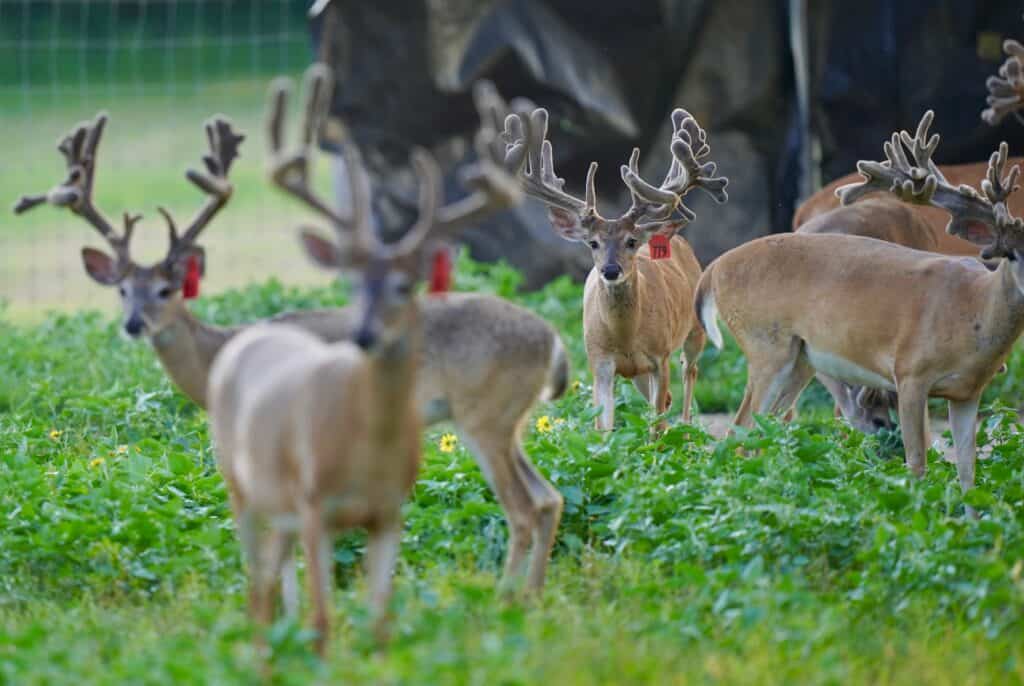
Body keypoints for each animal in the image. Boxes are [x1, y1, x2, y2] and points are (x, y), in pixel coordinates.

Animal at [12, 65, 567, 599]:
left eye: (167, 289)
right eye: (123, 290)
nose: (134, 324)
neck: (219, 354)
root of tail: (554, 341)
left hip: (484, 413)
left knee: (523, 506)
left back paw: (507, 599)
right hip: (505, 421)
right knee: (548, 497)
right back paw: (531, 596)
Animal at [501, 106, 728, 432]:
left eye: (631, 241)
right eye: (593, 243)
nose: (610, 270)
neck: (626, 336)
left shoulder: (660, 357)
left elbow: (658, 428)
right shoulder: (600, 363)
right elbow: (604, 429)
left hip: (695, 329)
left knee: (689, 374)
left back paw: (686, 428)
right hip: (638, 375)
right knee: (667, 397)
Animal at [696, 110, 1024, 510]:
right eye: (1011, 252)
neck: (974, 309)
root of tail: (714, 269)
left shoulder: (967, 392)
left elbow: (968, 472)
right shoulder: (910, 372)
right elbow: (918, 461)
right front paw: (916, 509)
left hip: (800, 361)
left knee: (762, 430)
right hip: (765, 347)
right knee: (739, 429)